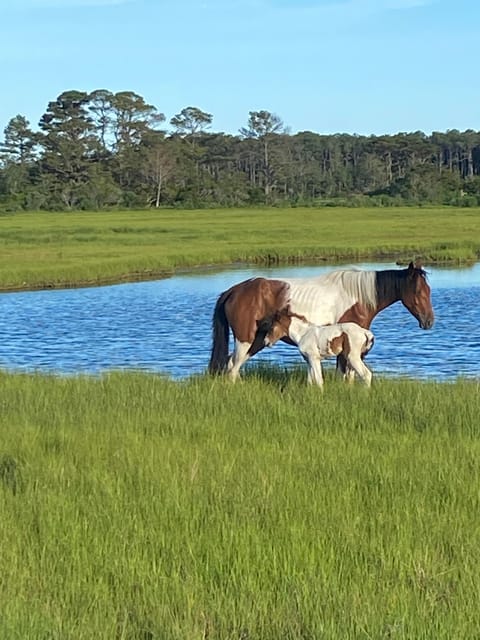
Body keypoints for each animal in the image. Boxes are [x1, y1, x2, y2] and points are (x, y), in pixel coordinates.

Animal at [208, 261, 434, 381]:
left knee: (232, 364)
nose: (429, 321)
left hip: (257, 341)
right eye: (418, 291)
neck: (356, 296)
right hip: (245, 339)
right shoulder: (347, 347)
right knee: (233, 366)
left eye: (429, 290)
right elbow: (345, 373)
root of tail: (233, 291)